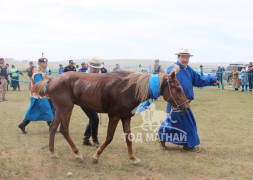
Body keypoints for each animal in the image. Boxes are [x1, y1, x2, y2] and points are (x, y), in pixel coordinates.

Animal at [33, 70, 188, 165]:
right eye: (178, 89)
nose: (186, 107)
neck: (129, 88)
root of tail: (52, 79)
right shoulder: (114, 116)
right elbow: (109, 137)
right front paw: (96, 156)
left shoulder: (126, 117)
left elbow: (129, 139)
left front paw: (134, 159)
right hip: (66, 108)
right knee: (64, 130)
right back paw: (78, 154)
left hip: (60, 109)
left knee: (53, 127)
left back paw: (53, 152)